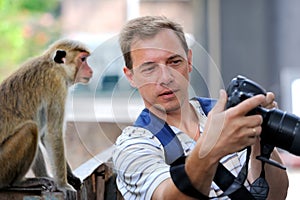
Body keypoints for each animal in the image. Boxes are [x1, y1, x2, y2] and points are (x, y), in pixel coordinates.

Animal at [0, 38, 92, 193]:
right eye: (83, 59)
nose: (91, 70)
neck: (55, 67)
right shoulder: (57, 84)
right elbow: (53, 134)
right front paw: (63, 185)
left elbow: (44, 136)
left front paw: (70, 177)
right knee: (30, 129)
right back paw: (15, 183)